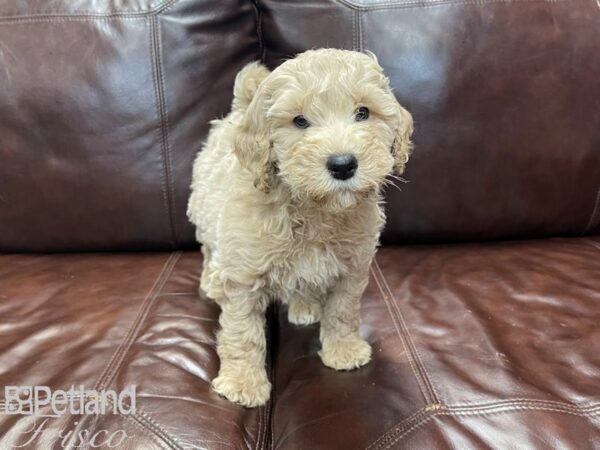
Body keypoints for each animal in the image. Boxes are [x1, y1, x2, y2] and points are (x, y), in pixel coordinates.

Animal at [188, 49, 412, 408]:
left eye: (363, 112)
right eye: (300, 121)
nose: (343, 165)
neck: (315, 209)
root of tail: (239, 109)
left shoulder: (351, 269)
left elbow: (343, 312)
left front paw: (343, 350)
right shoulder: (242, 275)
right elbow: (243, 332)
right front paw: (242, 383)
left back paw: (305, 306)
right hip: (203, 210)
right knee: (209, 249)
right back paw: (210, 282)